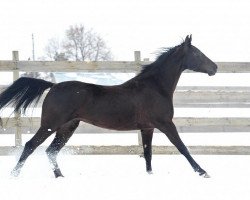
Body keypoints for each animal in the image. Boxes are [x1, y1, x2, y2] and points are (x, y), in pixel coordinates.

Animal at [0, 34, 217, 178]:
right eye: (198, 54)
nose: (214, 68)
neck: (155, 87)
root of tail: (52, 86)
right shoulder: (165, 124)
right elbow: (182, 147)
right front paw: (203, 172)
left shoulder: (147, 128)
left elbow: (148, 153)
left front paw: (150, 175)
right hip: (51, 124)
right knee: (31, 146)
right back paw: (14, 174)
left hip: (67, 127)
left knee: (51, 151)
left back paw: (60, 176)